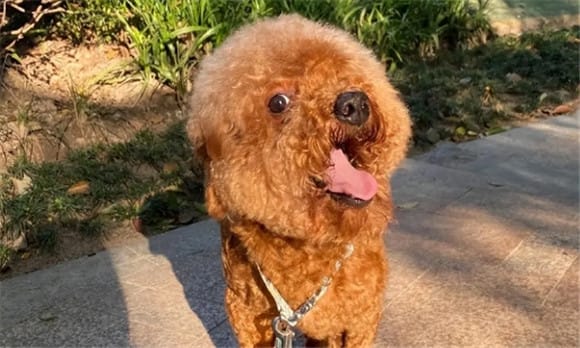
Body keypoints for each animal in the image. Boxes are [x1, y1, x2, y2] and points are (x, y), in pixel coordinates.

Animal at [188, 14, 410, 348]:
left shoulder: (360, 317)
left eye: (344, 73)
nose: (355, 103)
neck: (308, 249)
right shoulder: (248, 317)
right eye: (278, 102)